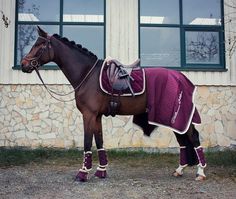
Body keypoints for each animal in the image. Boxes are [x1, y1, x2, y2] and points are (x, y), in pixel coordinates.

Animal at [21, 26, 206, 182]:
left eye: (39, 45)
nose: (23, 65)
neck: (87, 75)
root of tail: (182, 78)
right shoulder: (96, 116)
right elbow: (99, 141)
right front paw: (101, 171)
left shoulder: (88, 115)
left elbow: (87, 142)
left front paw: (82, 173)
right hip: (173, 118)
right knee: (182, 140)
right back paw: (179, 170)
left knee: (193, 138)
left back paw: (200, 173)